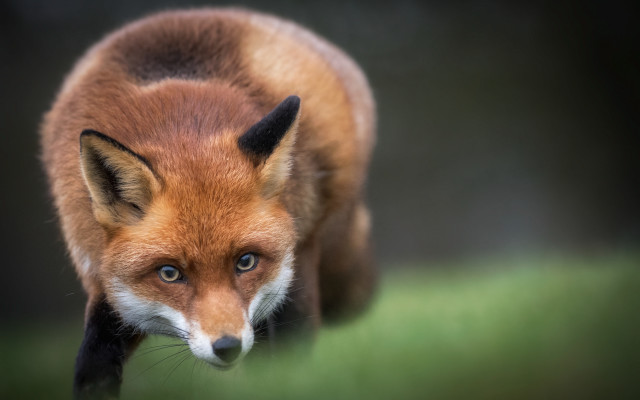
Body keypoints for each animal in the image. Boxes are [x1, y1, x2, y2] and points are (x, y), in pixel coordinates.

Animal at [41, 7, 376, 399]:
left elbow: (289, 355)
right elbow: (94, 359)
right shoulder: (107, 284)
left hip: (307, 254)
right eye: (169, 273)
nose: (227, 347)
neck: (178, 121)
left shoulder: (295, 278)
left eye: (246, 262)